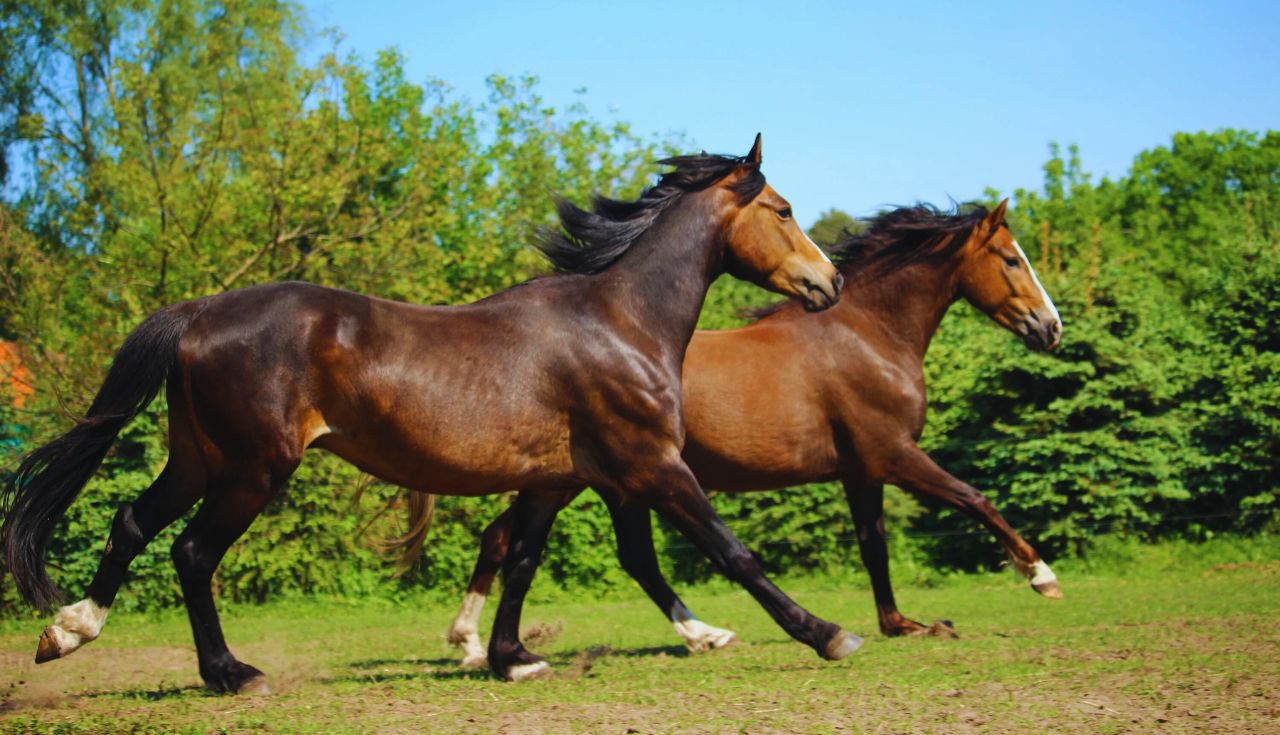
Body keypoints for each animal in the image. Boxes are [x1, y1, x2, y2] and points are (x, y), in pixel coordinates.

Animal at [5, 137, 855, 691]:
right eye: (782, 209)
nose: (831, 282)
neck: (618, 321)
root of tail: (197, 313)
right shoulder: (652, 465)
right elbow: (731, 551)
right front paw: (826, 633)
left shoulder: (556, 478)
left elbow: (520, 558)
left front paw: (510, 656)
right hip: (253, 469)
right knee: (190, 551)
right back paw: (230, 673)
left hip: (196, 458)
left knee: (132, 523)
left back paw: (66, 631)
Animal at [424, 198, 1064, 665]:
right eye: (1011, 260)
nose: (1051, 327)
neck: (865, 334)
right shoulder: (894, 454)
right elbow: (975, 499)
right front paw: (1042, 578)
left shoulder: (862, 472)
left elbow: (874, 546)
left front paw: (904, 624)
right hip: (610, 476)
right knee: (551, 546)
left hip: (587, 479)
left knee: (512, 539)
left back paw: (472, 644)